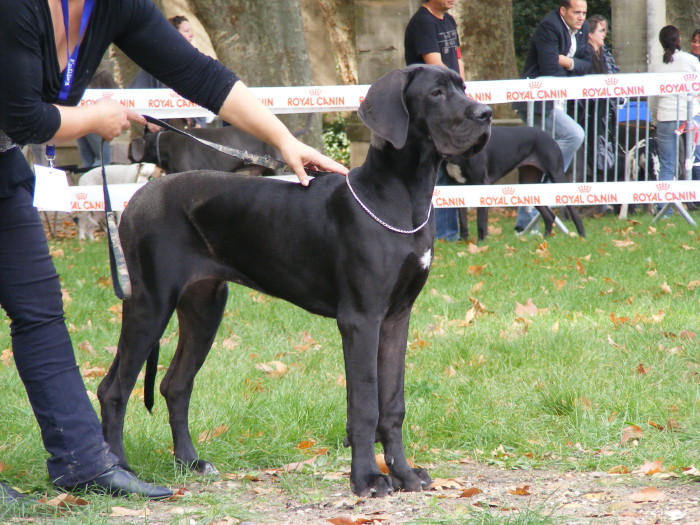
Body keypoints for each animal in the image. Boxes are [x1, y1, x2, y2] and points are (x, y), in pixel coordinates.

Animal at [97, 64, 492, 496]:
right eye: (437, 92)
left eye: (463, 87)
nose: (486, 114)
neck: (400, 198)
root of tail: (137, 197)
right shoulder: (360, 319)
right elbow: (365, 406)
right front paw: (367, 478)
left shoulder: (396, 318)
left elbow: (392, 404)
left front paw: (403, 473)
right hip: (150, 302)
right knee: (113, 389)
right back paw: (119, 472)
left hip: (205, 306)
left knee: (175, 384)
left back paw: (190, 462)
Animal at [446, 126, 588, 241]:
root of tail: (549, 136)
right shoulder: (457, 187)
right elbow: (462, 220)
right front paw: (463, 241)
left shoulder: (481, 184)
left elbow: (481, 220)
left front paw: (480, 242)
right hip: (529, 183)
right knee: (549, 215)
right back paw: (546, 237)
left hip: (556, 174)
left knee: (572, 210)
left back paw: (581, 235)